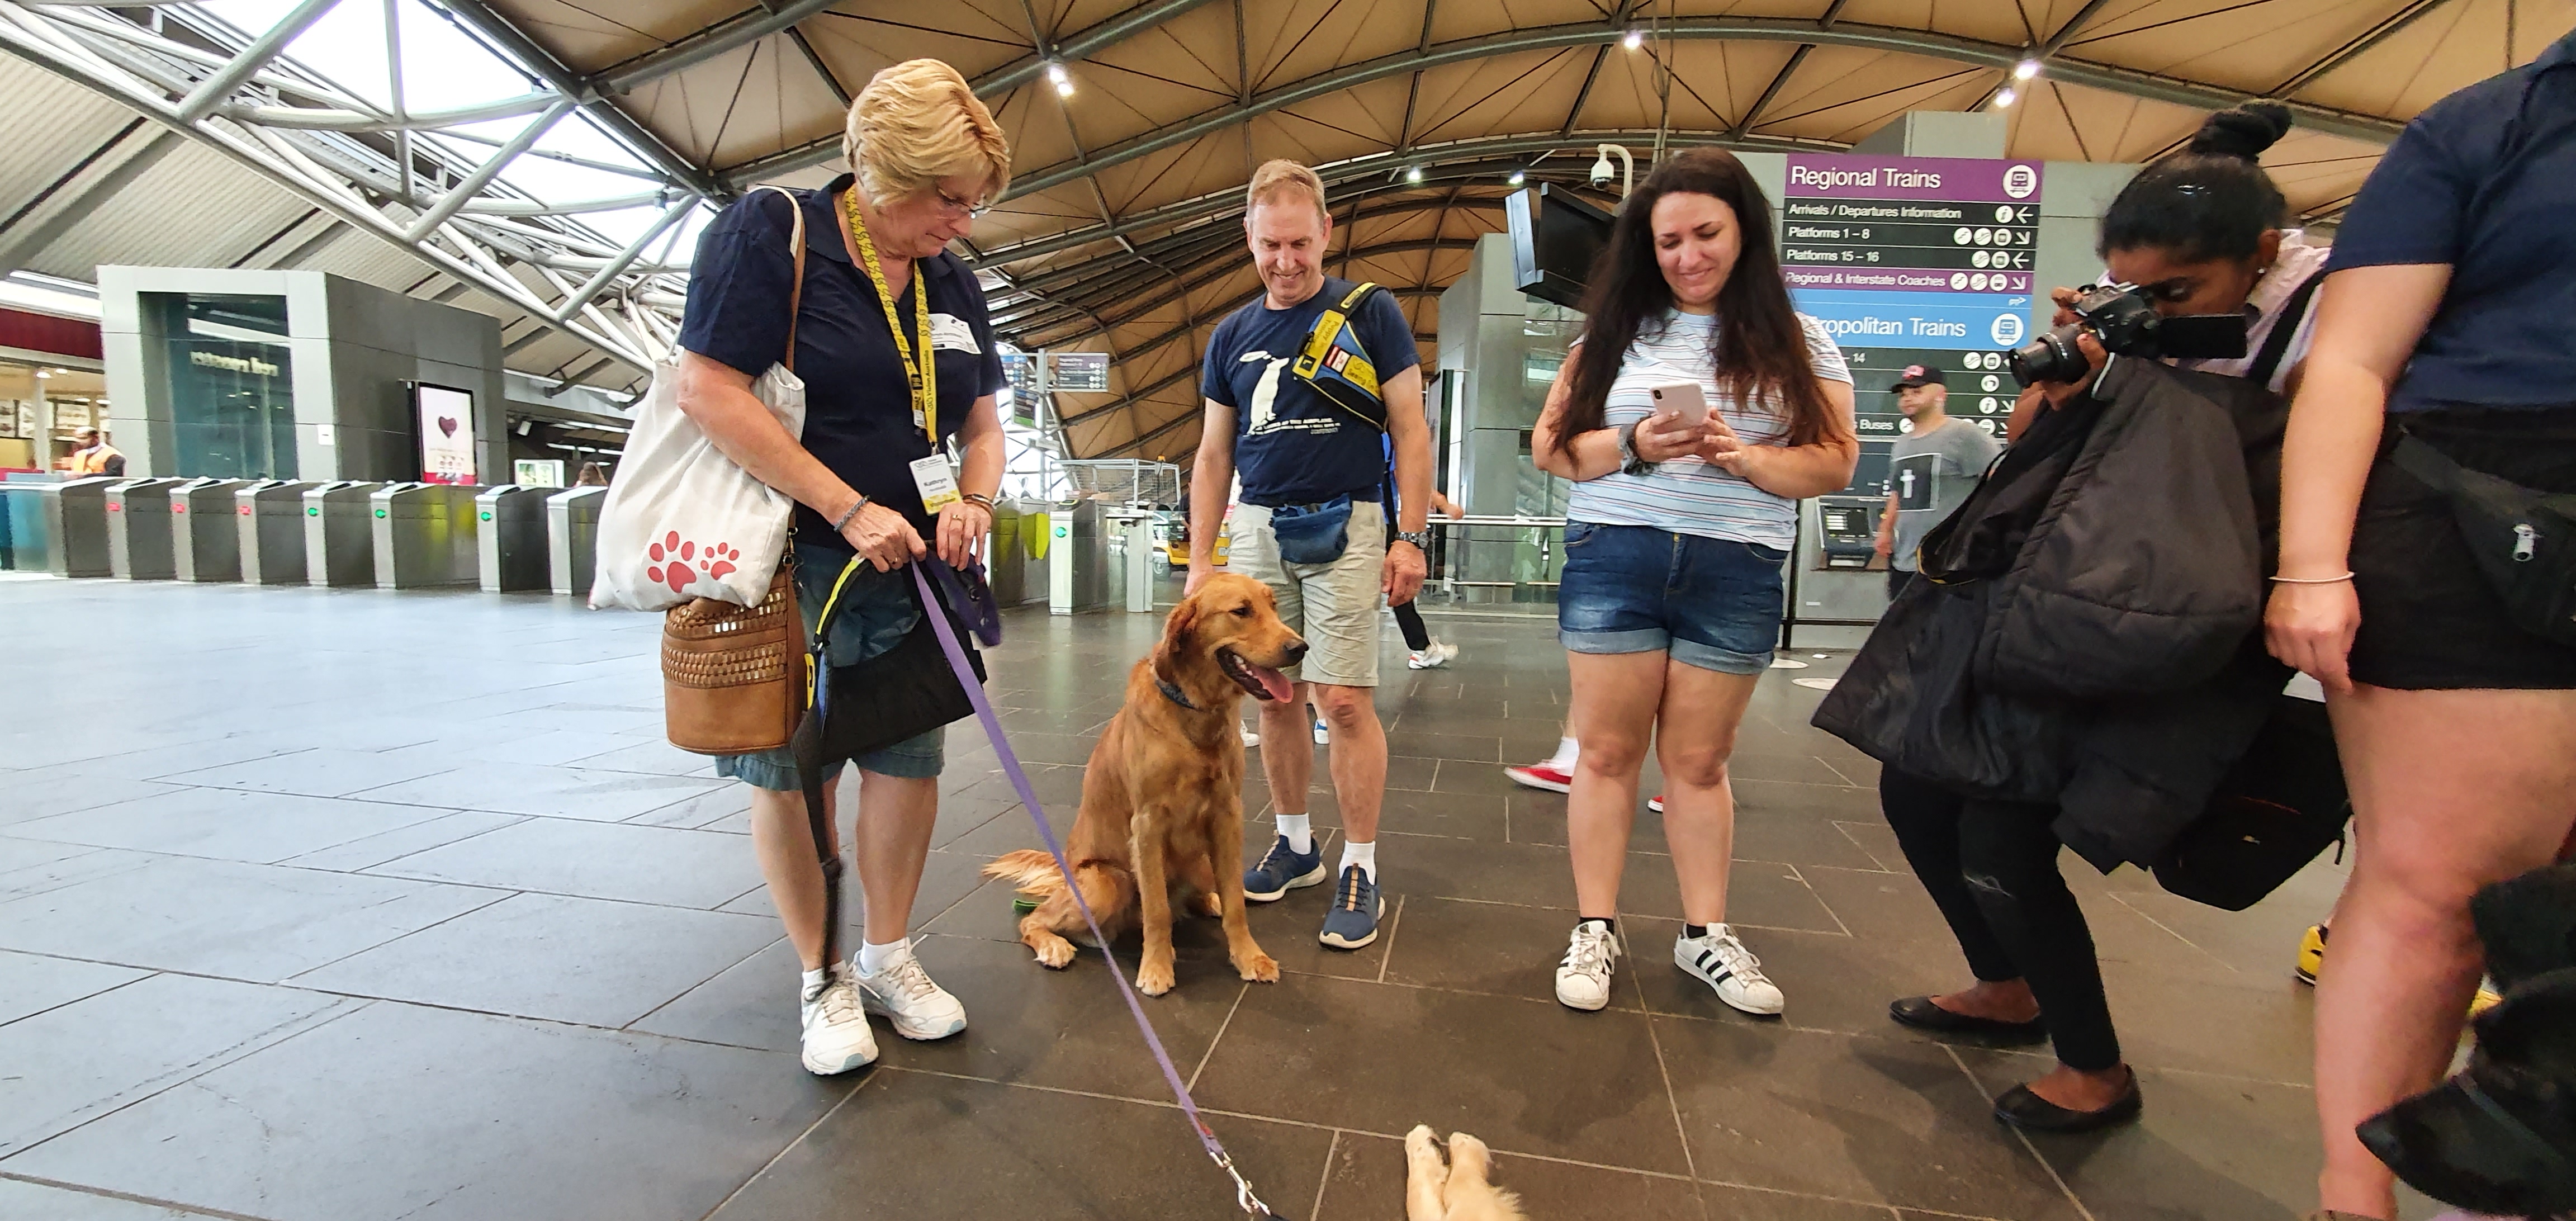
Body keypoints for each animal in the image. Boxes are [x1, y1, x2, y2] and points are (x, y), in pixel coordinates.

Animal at [984, 577, 1308, 994]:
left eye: (1274, 606)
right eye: (1241, 611)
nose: (1300, 647)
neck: (1195, 713)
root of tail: (1065, 871)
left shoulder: (1227, 815)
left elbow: (1236, 902)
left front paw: (1249, 957)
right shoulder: (1148, 825)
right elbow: (1157, 910)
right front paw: (1156, 967)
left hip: (1200, 861)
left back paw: (1211, 901)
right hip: (1107, 883)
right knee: (1034, 919)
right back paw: (1055, 946)